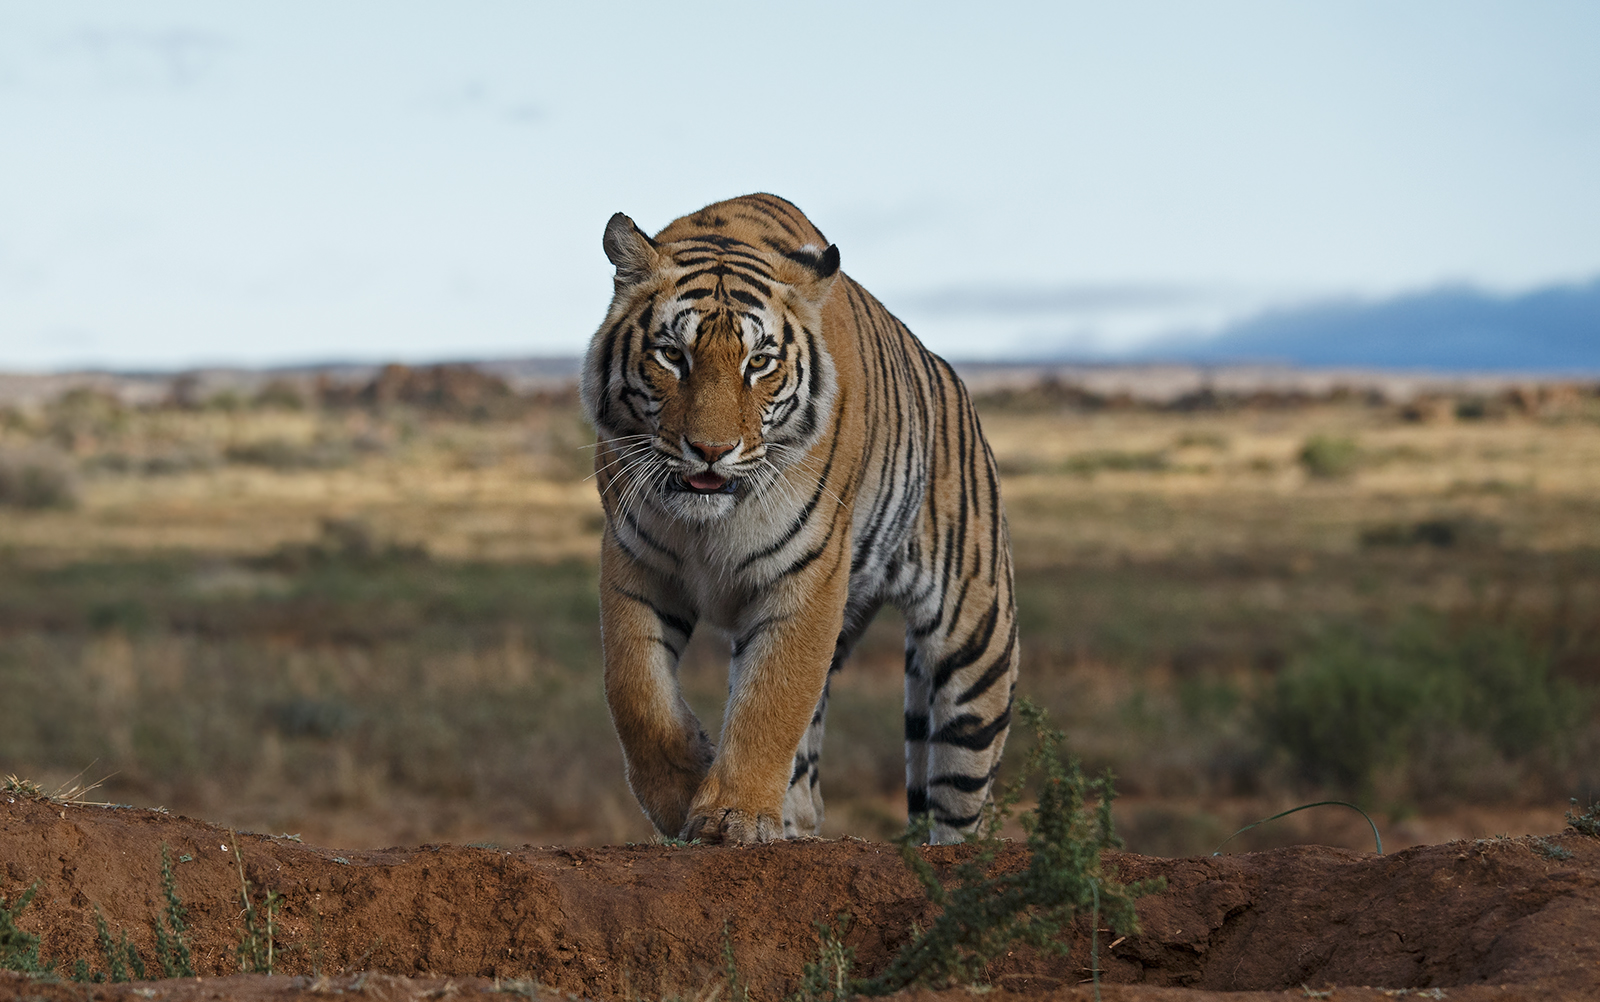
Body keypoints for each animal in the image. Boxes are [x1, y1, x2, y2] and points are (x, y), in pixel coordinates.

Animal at [580, 193, 1017, 845]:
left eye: (758, 362)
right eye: (672, 355)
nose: (711, 450)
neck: (710, 521)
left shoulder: (808, 576)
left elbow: (771, 702)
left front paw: (733, 815)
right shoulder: (635, 562)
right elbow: (636, 689)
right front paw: (681, 794)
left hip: (977, 648)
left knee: (959, 810)